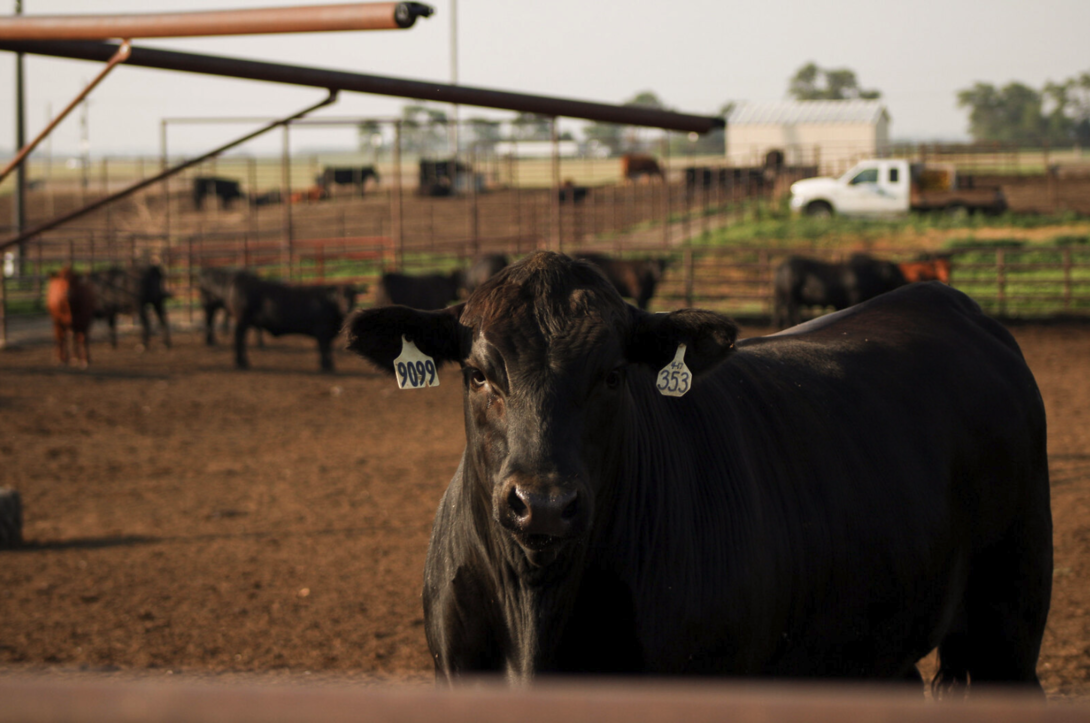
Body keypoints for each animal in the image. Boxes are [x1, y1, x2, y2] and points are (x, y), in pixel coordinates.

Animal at [226, 274, 357, 370]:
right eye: (339, 295)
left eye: (352, 295)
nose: (347, 307)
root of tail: (241, 280)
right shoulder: (322, 331)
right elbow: (324, 349)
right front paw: (326, 366)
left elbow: (327, 348)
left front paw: (329, 365)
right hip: (242, 321)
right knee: (239, 339)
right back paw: (241, 362)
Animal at [771, 254, 906, 327]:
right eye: (896, 273)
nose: (905, 281)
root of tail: (782, 267)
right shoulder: (854, 297)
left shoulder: (840, 303)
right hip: (791, 295)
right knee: (791, 309)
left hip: (782, 295)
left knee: (780, 308)